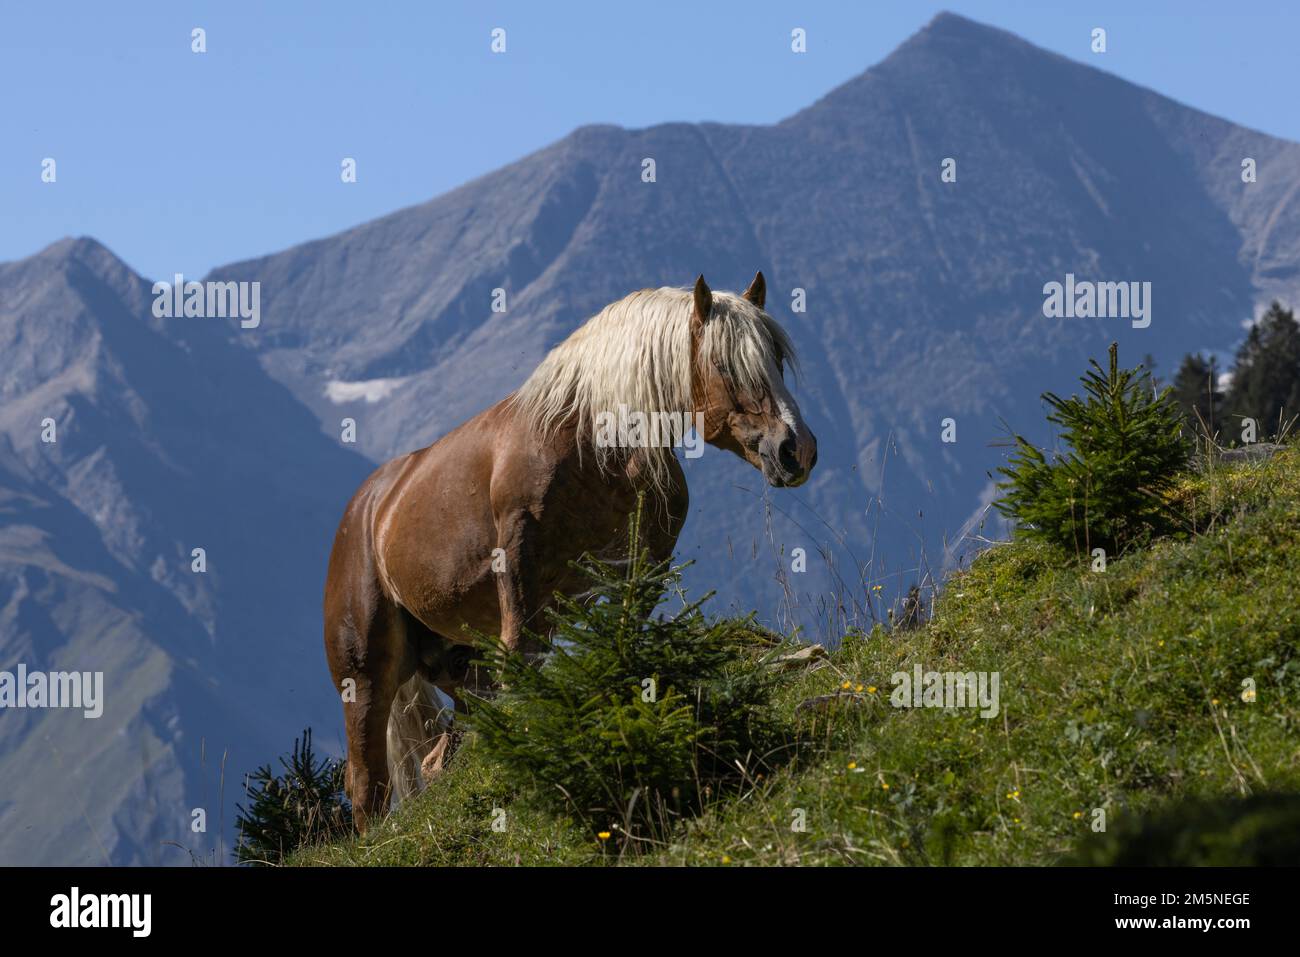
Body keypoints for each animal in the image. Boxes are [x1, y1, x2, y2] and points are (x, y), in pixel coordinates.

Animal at [321, 273, 816, 826]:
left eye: (777, 360)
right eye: (726, 364)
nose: (795, 449)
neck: (594, 446)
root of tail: (369, 508)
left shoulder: (640, 569)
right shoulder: (519, 571)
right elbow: (522, 663)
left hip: (458, 665)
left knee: (439, 755)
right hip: (366, 678)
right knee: (368, 784)